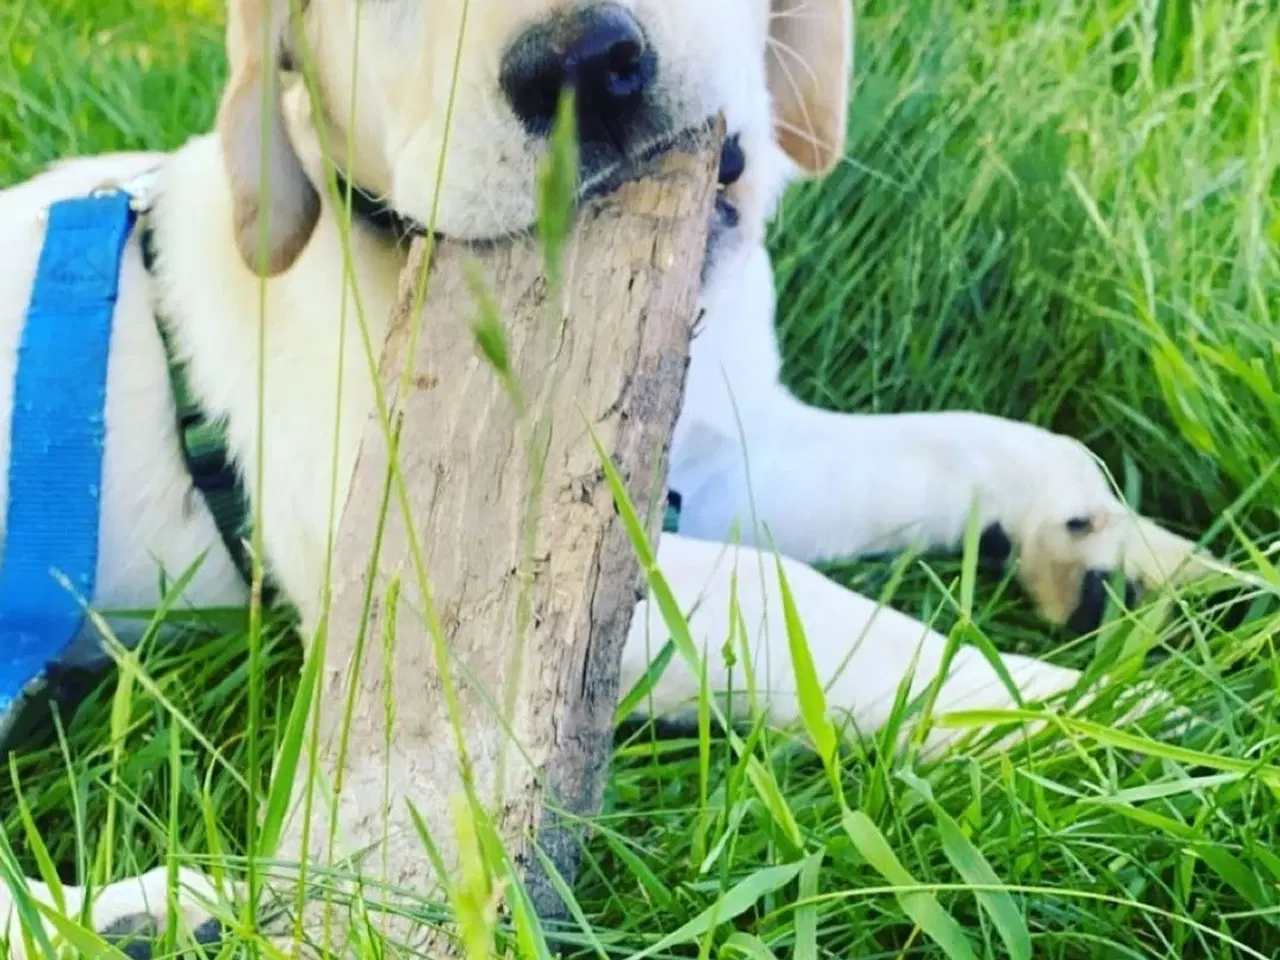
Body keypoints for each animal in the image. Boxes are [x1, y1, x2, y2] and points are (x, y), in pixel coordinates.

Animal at [0, 0, 1213, 952]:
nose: (580, 61)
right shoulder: (453, 593)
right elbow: (803, 604)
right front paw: (1079, 713)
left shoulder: (730, 449)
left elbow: (953, 447)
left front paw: (1104, 540)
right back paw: (142, 917)